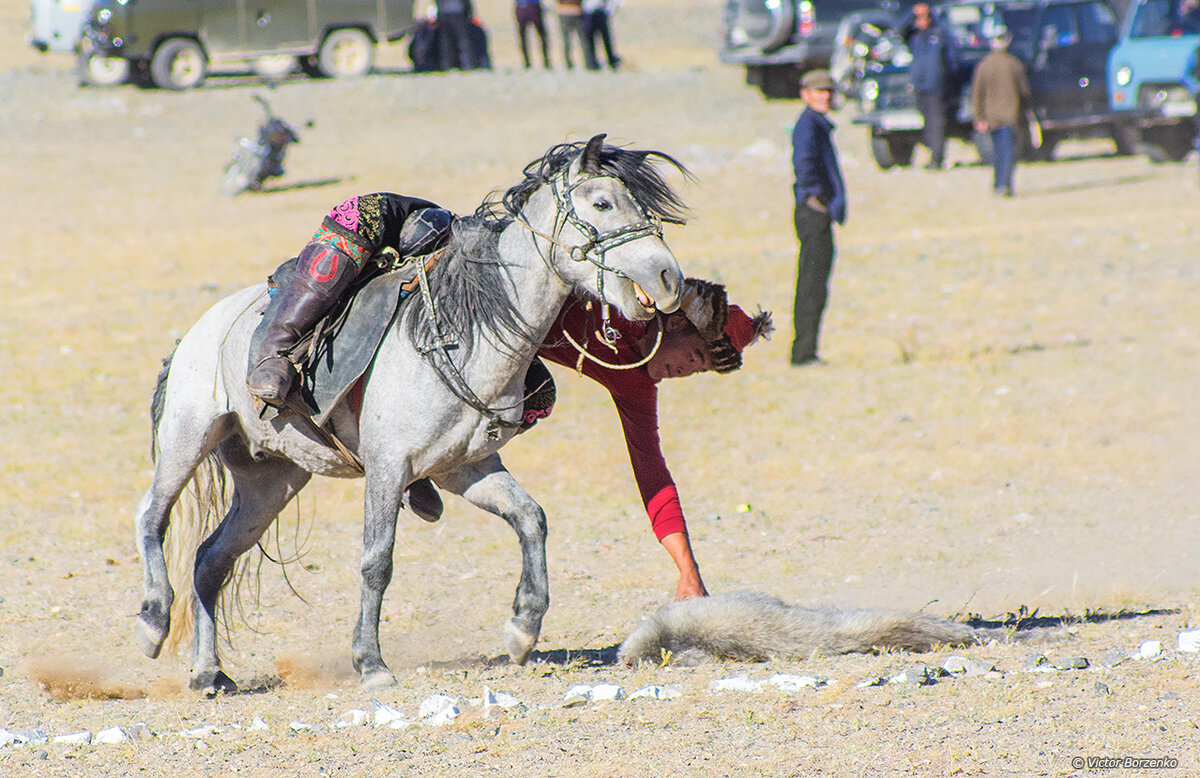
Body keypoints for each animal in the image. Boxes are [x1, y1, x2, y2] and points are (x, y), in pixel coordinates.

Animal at [132, 135, 691, 691]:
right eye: (602, 204)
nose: (669, 278)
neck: (461, 333)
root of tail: (193, 335)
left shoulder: (465, 468)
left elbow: (531, 518)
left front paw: (523, 629)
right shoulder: (388, 467)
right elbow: (377, 561)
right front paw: (370, 663)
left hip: (271, 480)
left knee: (210, 559)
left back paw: (208, 672)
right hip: (188, 438)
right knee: (152, 514)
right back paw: (153, 621)